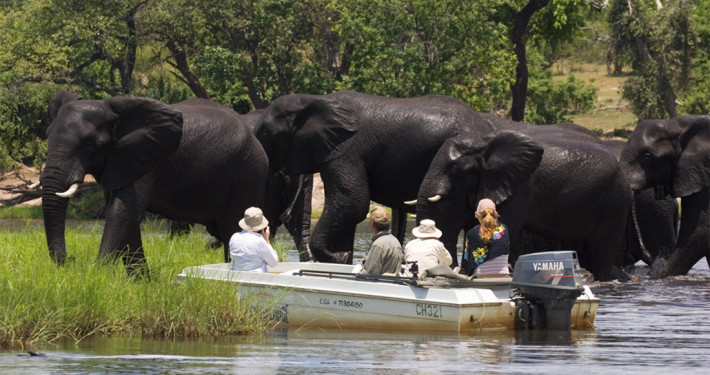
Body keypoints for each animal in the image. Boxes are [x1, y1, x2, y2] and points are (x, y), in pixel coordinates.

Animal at [42, 90, 270, 274]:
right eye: (47, 137)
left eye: (90, 145)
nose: (71, 260)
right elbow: (126, 217)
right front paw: (141, 283)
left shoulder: (145, 162)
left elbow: (122, 213)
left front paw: (96, 274)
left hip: (246, 174)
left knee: (232, 227)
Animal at [256, 90, 500, 264]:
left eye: (266, 133)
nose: (346, 256)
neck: (316, 100)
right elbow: (347, 211)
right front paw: (342, 259)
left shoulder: (346, 152)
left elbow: (352, 203)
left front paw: (339, 257)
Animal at [414, 122, 636, 280]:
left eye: (454, 168)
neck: (485, 141)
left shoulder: (520, 187)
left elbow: (507, 229)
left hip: (614, 201)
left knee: (601, 252)